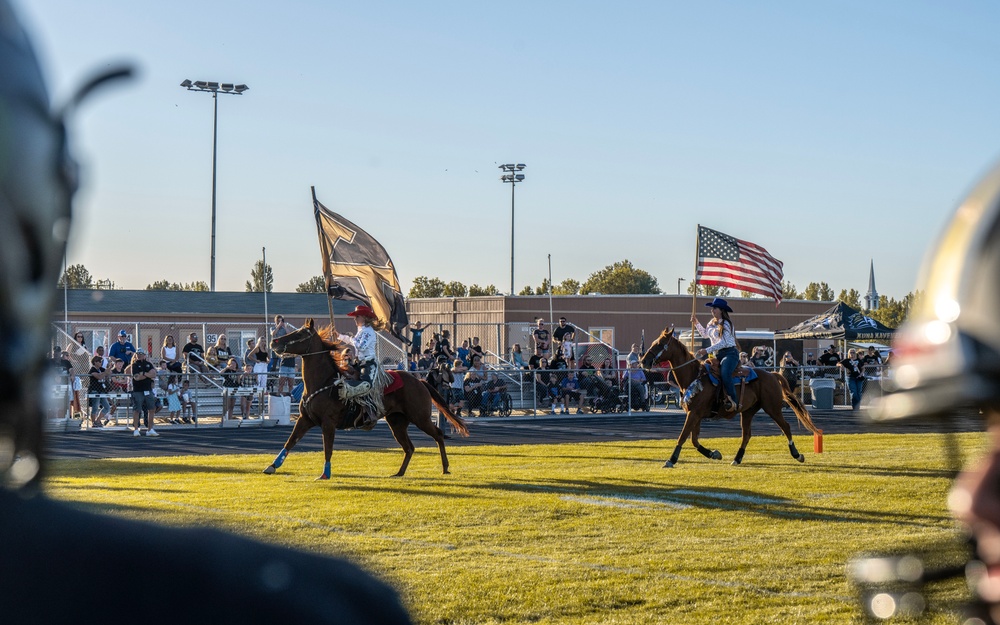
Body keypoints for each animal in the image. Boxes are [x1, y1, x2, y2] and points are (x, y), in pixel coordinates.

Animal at [264, 320, 470, 480]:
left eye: (299, 334)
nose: (273, 342)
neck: (325, 382)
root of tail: (419, 381)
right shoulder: (305, 419)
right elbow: (290, 442)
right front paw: (272, 466)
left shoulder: (328, 423)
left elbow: (327, 448)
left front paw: (325, 474)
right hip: (397, 422)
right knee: (409, 447)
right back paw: (399, 473)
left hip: (420, 418)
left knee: (438, 435)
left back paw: (445, 467)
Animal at [640, 326, 820, 464]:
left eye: (659, 344)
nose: (643, 361)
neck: (694, 376)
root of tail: (772, 375)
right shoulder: (695, 414)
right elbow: (694, 440)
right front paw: (714, 454)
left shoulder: (694, 413)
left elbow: (683, 437)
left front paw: (671, 460)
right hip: (747, 412)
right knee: (746, 435)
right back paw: (737, 458)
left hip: (772, 408)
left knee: (786, 427)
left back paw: (797, 454)